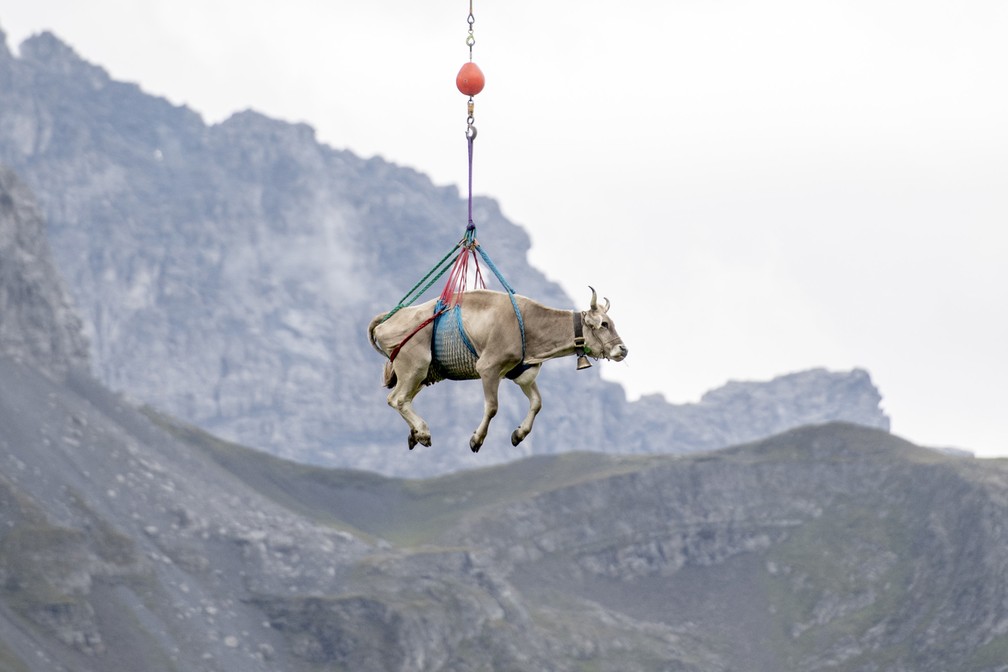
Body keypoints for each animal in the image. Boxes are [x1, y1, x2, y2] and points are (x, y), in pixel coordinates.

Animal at [367, 287, 628, 453]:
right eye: (604, 324)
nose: (623, 349)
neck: (529, 324)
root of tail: (389, 319)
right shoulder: (489, 368)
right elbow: (492, 407)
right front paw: (476, 440)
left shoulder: (523, 374)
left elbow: (537, 403)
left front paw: (519, 434)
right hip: (415, 366)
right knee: (397, 399)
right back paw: (422, 432)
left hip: (419, 375)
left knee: (404, 400)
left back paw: (415, 434)